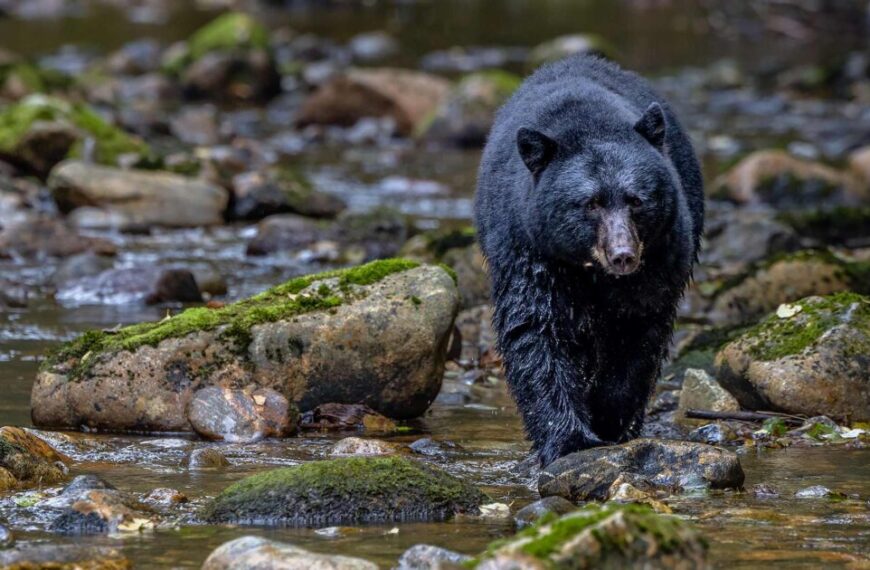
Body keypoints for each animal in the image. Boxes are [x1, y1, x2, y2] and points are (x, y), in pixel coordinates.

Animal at [474, 55, 704, 467]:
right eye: (591, 203)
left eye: (636, 200)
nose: (623, 255)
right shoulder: (529, 251)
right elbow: (535, 332)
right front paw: (569, 438)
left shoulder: (660, 257)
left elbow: (638, 335)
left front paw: (609, 418)